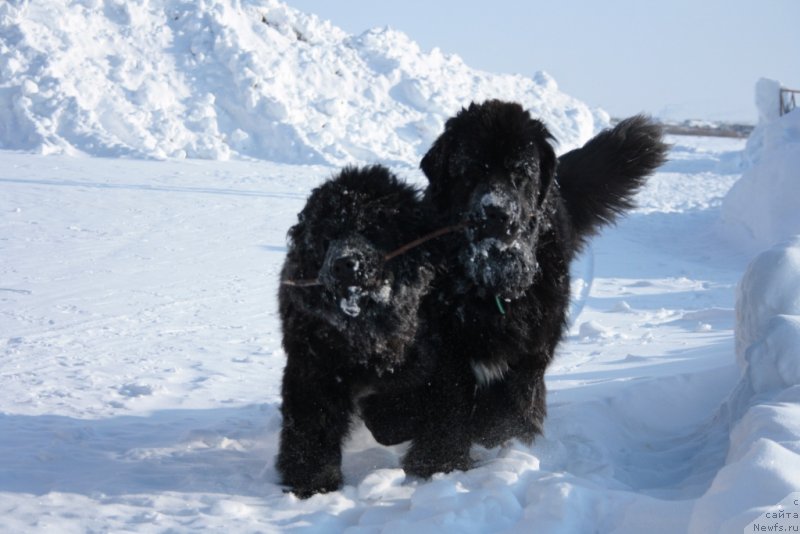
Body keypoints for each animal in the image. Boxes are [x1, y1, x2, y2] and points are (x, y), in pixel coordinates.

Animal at [276, 166, 438, 498]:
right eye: (328, 236)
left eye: (372, 230)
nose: (345, 264)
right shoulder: (312, 367)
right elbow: (311, 425)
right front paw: (313, 481)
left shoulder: (414, 356)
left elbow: (400, 401)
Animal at [362, 100, 668, 478]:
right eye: (471, 170)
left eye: (520, 174)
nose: (497, 212)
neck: (491, 282)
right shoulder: (447, 346)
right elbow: (448, 400)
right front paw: (440, 461)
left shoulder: (535, 342)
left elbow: (513, 402)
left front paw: (490, 435)